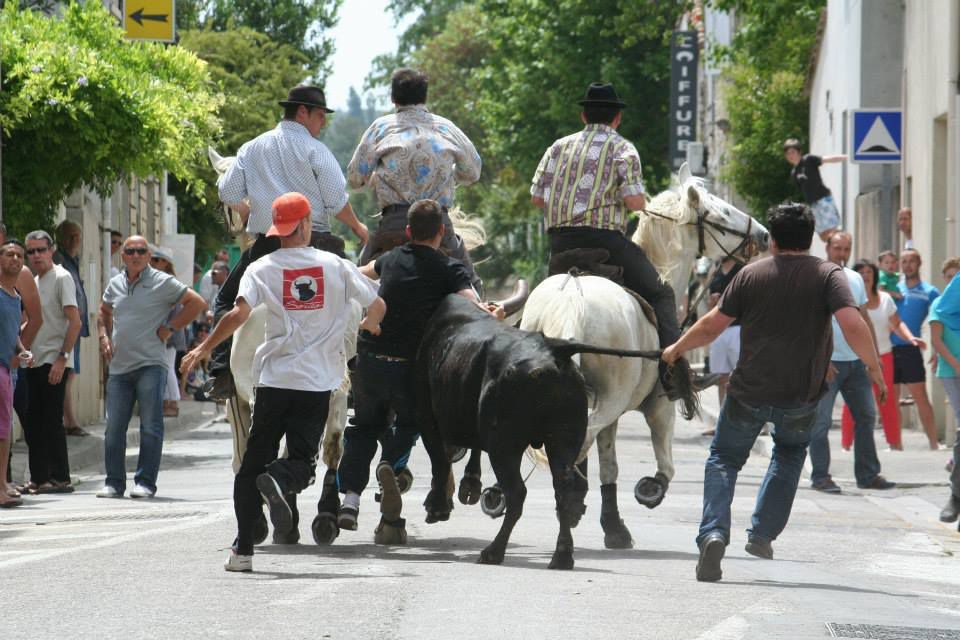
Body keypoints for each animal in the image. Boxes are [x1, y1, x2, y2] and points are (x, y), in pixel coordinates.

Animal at [416, 296, 664, 568]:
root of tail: (554, 351)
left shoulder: (426, 418)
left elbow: (439, 461)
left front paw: (437, 505)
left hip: (505, 445)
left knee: (517, 493)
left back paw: (494, 551)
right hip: (562, 441)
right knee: (564, 489)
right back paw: (562, 554)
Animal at [520, 162, 768, 548]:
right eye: (723, 212)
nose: (764, 234)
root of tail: (572, 299)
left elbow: (608, 464)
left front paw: (612, 525)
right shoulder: (659, 405)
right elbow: (664, 465)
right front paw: (646, 494)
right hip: (613, 398)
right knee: (580, 441)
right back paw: (570, 502)